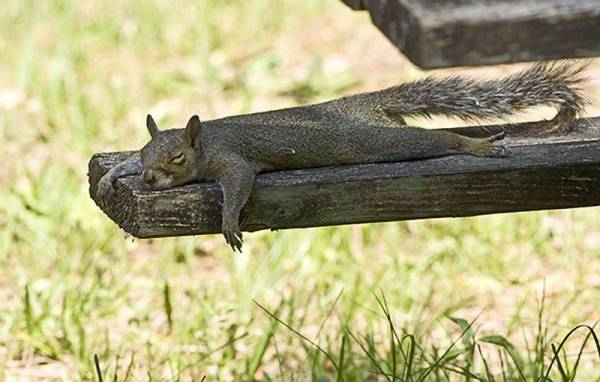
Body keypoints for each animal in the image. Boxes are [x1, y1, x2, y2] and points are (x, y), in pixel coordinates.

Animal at [97, 61, 584, 251]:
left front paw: (229, 221)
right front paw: (113, 174)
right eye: (144, 152)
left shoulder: (231, 160)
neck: (208, 142)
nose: (148, 180)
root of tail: (369, 106)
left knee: (435, 140)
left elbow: (238, 185)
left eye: (178, 158)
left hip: (378, 143)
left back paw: (475, 145)